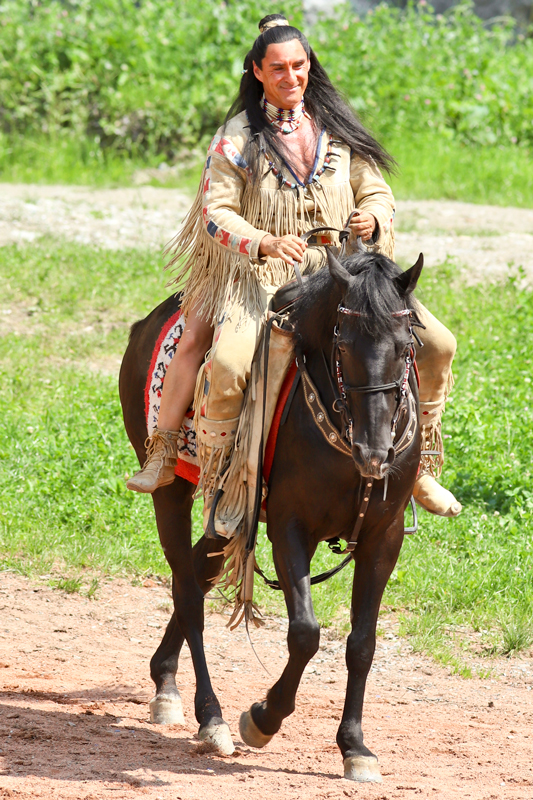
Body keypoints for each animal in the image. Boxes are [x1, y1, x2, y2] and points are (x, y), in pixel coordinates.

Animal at [118, 247, 422, 780]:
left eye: (406, 346)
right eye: (343, 345)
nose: (375, 451)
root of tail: (147, 323)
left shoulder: (384, 536)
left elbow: (362, 643)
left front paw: (355, 747)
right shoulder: (289, 526)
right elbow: (305, 634)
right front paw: (263, 717)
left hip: (227, 514)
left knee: (198, 571)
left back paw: (165, 681)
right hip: (173, 491)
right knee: (189, 595)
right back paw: (210, 717)